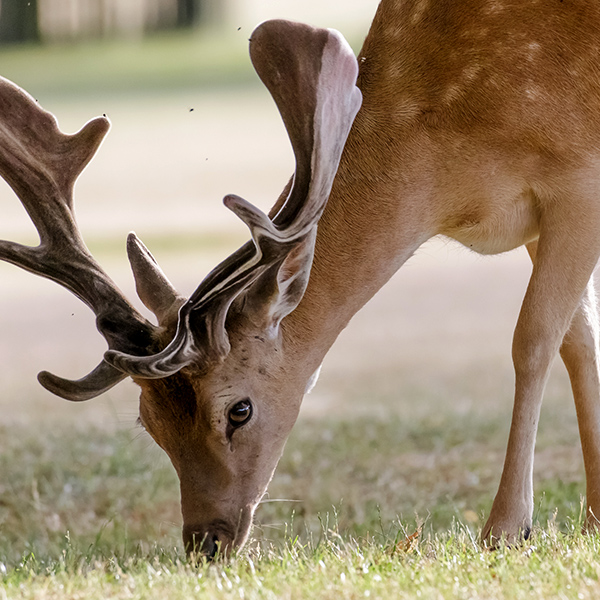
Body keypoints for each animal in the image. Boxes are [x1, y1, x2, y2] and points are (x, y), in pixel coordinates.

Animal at [1, 0, 600, 552]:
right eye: (149, 421)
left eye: (239, 409)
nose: (205, 542)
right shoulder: (537, 220)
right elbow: (579, 342)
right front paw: (592, 519)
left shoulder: (576, 180)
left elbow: (533, 340)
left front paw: (506, 529)